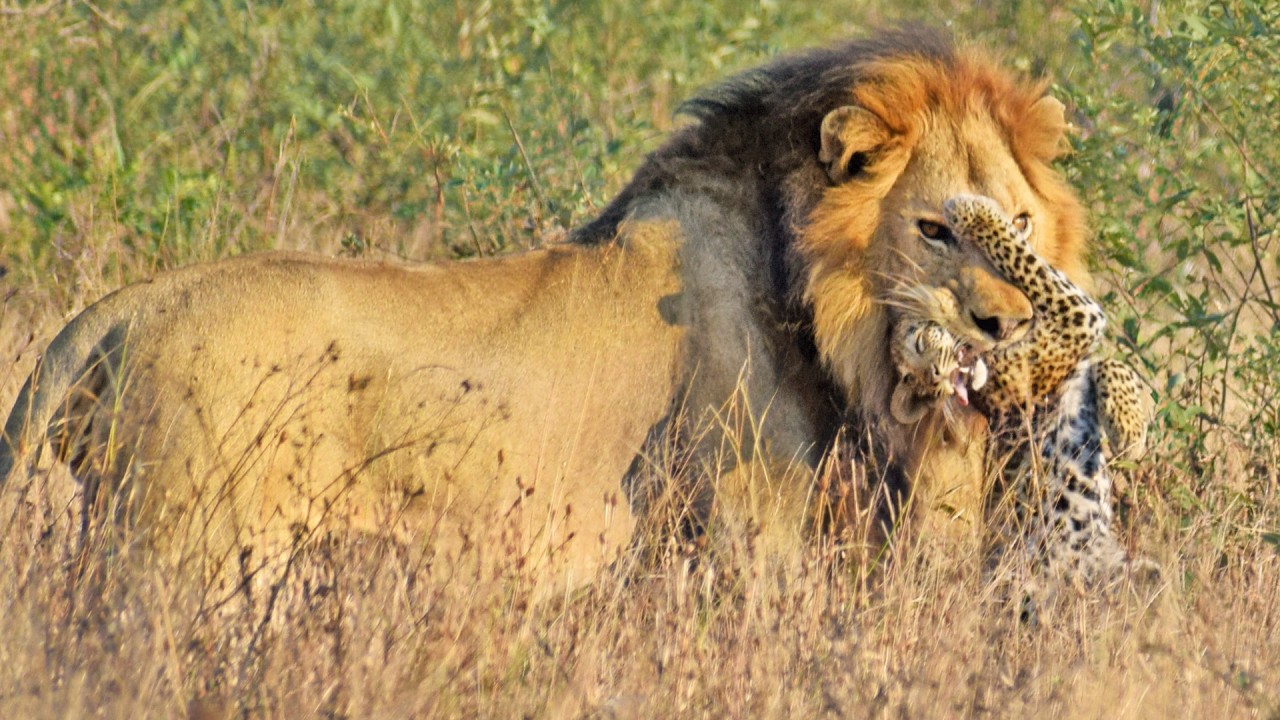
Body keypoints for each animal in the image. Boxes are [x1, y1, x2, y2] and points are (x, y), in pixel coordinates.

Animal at [0, 28, 1088, 592]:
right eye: (936, 229)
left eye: (1019, 226)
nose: (1006, 327)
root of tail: (113, 314)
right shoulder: (747, 519)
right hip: (189, 555)